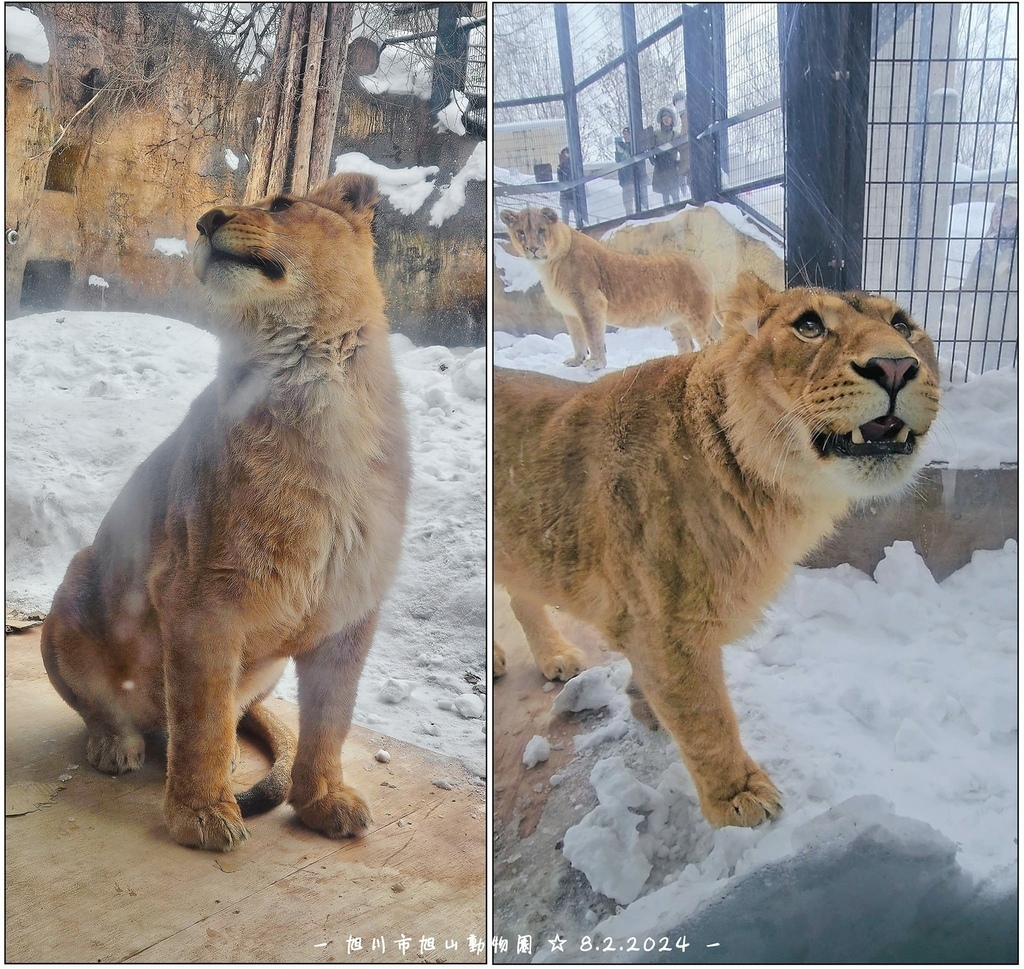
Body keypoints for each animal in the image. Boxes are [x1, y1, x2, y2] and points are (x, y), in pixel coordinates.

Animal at [40, 172, 407, 844]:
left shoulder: (351, 602)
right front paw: (202, 814)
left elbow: (330, 718)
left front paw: (323, 800)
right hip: (74, 590)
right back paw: (116, 745)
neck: (311, 375)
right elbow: (202, 711)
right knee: (115, 710)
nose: (207, 219)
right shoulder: (201, 595)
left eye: (283, 204)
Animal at [491, 274, 937, 831]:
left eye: (903, 325)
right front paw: (739, 797)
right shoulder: (668, 626)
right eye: (809, 326)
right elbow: (705, 717)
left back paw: (553, 656)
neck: (771, 493)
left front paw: (643, 705)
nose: (895, 366)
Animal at [501, 204, 712, 370]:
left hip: (695, 315)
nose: (532, 249)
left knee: (709, 343)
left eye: (541, 230)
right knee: (687, 345)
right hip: (675, 321)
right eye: (521, 232)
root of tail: (700, 262)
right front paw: (576, 360)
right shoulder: (569, 311)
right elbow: (576, 338)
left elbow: (593, 336)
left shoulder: (590, 302)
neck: (548, 264)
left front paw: (596, 363)